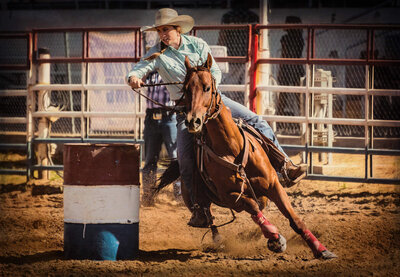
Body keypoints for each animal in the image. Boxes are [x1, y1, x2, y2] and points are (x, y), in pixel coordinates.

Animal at [155, 53, 336, 258]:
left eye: (207, 87)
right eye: (185, 89)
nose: (193, 121)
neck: (231, 147)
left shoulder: (274, 185)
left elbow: (294, 218)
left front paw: (321, 249)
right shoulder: (231, 196)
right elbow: (253, 207)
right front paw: (275, 238)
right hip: (195, 198)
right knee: (209, 218)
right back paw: (217, 239)